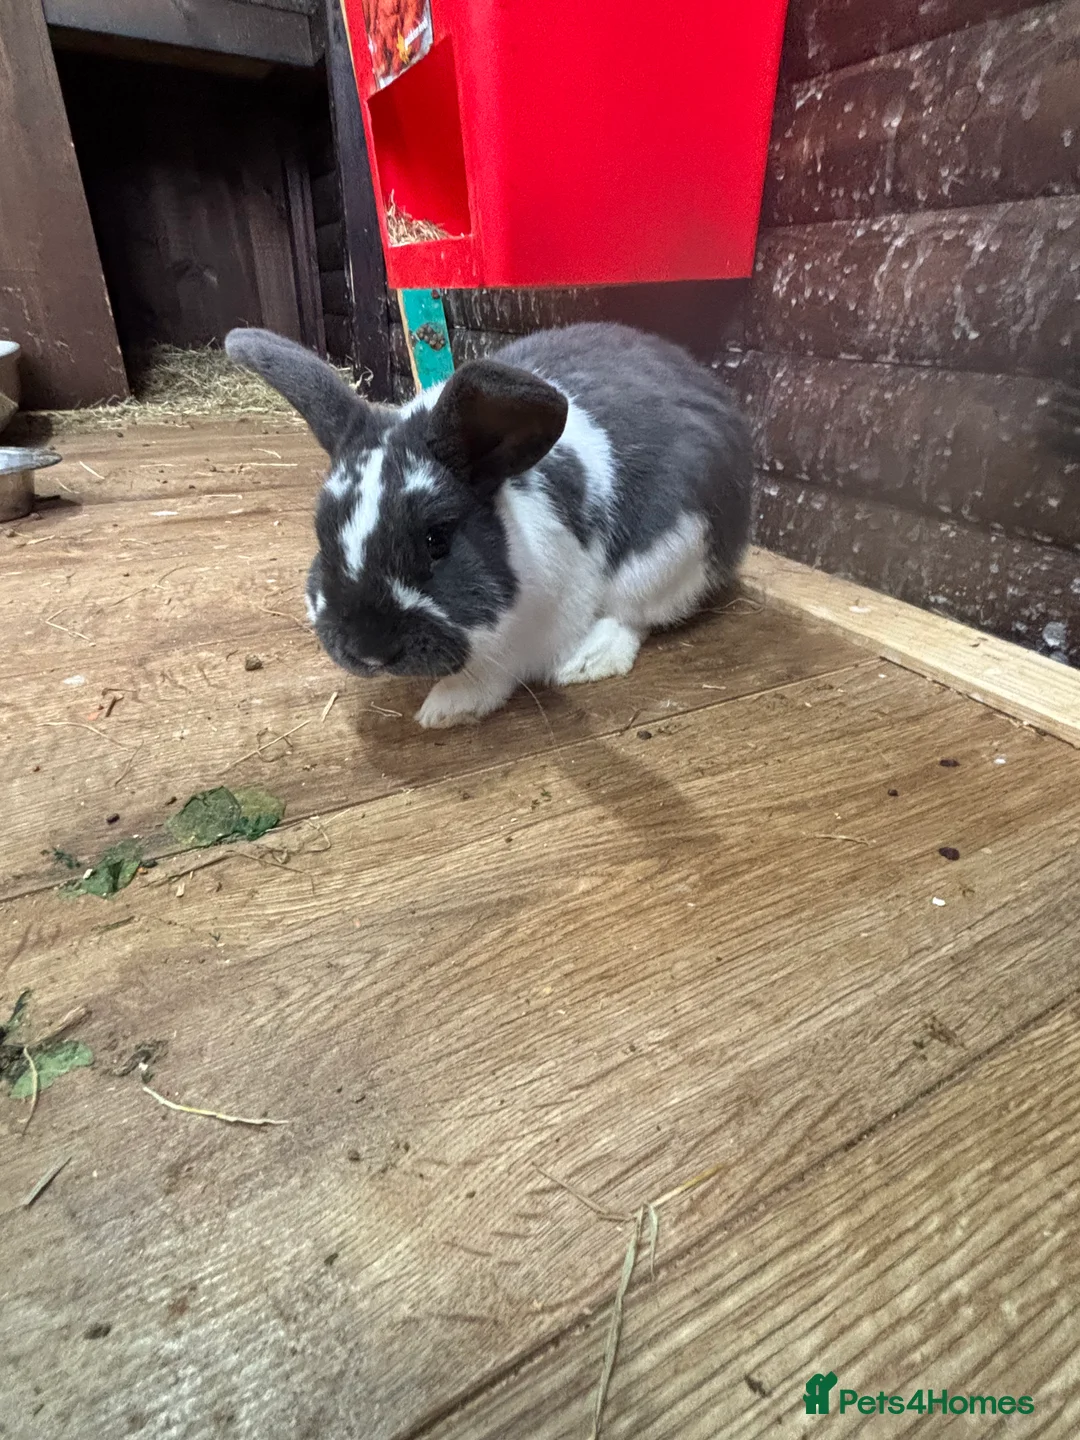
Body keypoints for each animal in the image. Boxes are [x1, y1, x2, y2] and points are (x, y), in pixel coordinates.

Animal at [224, 322, 753, 728]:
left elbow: (491, 673)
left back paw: (589, 661)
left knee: (636, 615)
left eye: (437, 540)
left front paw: (445, 709)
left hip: (672, 556)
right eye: (323, 535)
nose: (369, 650)